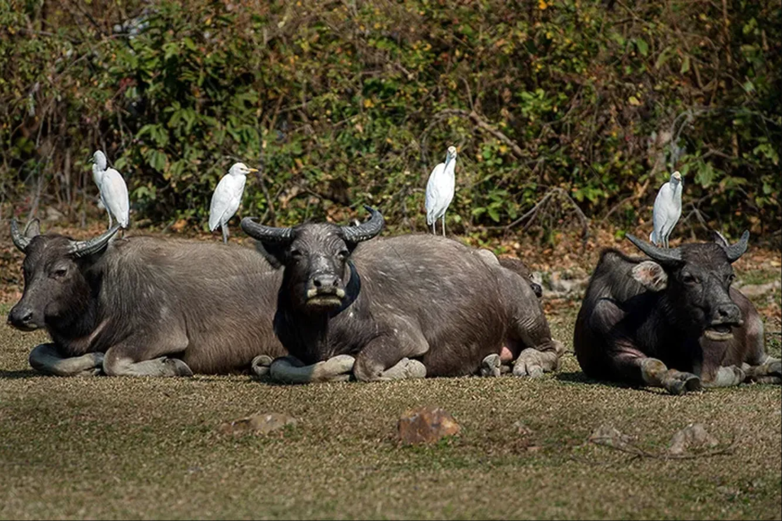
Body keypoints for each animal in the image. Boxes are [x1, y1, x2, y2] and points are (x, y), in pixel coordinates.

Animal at [7, 220, 286, 378]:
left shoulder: (164, 333)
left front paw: (172, 366)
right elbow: (37, 354)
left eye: (60, 271)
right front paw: (89, 363)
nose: (20, 315)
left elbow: (112, 359)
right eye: (25, 269)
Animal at [240, 206, 564, 382]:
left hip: (526, 315)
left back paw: (527, 364)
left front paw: (409, 367)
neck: (324, 327)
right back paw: (491, 364)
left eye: (341, 252)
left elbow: (365, 365)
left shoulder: (404, 336)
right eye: (296, 253)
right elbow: (276, 366)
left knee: (553, 348)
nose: (326, 284)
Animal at [572, 232, 780, 394]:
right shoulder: (618, 348)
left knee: (767, 360)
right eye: (688, 278)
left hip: (757, 336)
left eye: (730, 276)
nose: (729, 312)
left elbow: (708, 377)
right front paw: (678, 379)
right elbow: (653, 364)